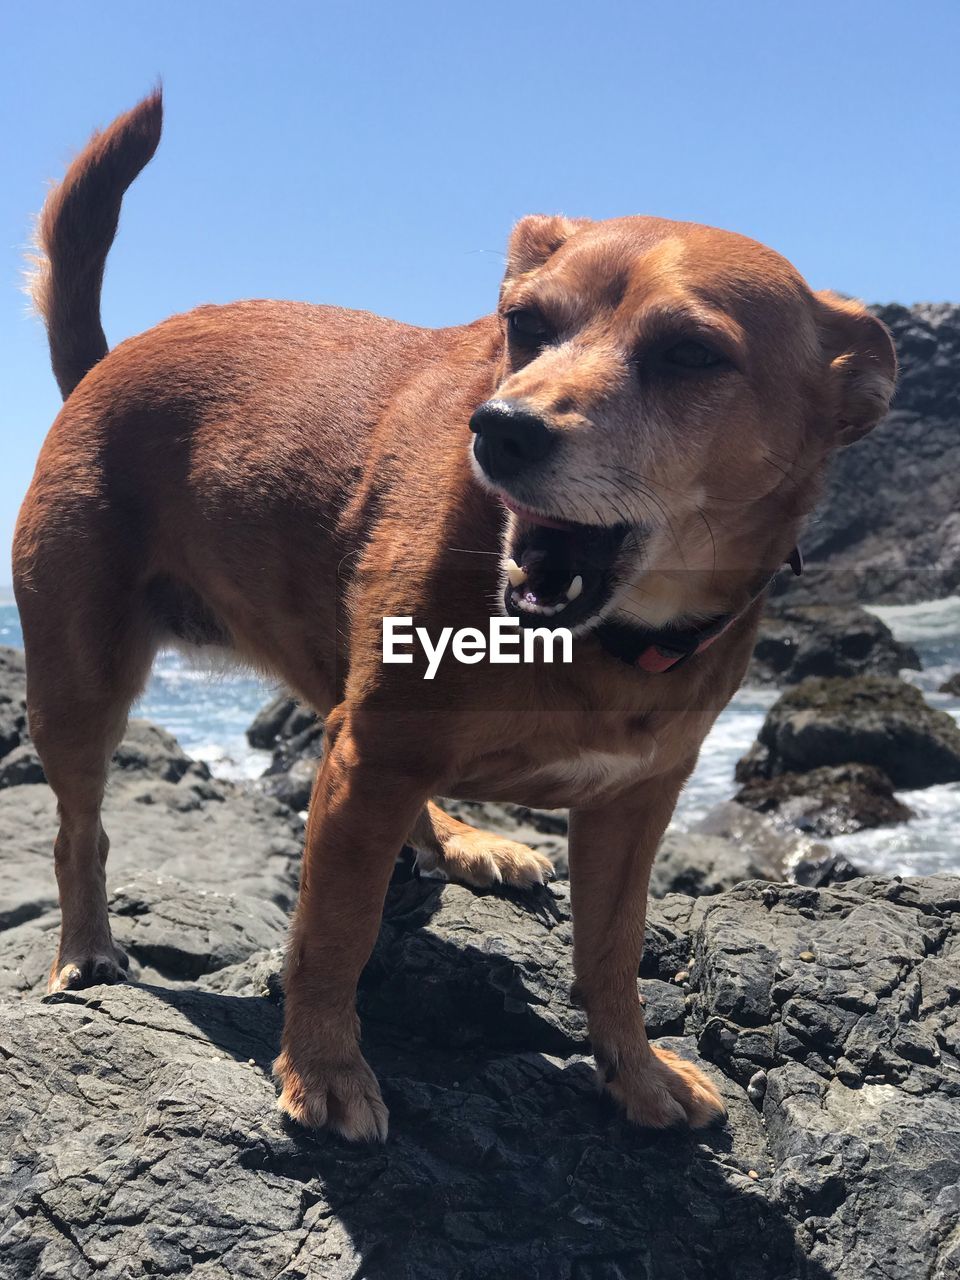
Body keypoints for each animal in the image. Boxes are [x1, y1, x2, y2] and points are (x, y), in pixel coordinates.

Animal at [13, 94, 901, 1146]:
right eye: (525, 324)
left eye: (691, 355)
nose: (502, 427)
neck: (595, 640)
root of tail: (105, 366)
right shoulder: (372, 758)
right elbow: (334, 932)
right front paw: (324, 1067)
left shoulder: (634, 803)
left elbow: (612, 955)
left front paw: (638, 1073)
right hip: (81, 682)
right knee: (79, 830)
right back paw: (85, 948)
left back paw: (464, 840)